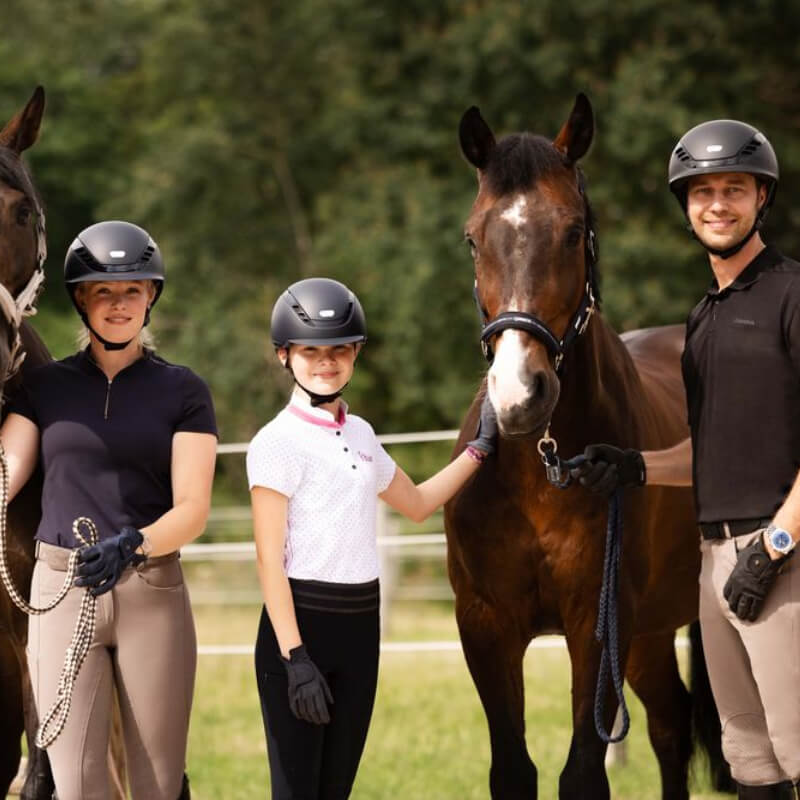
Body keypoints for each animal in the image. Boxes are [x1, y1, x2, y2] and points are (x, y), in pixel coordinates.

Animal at [444, 94, 731, 799]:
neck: (537, 475)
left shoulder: (597, 622)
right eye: (472, 237)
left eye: (574, 231)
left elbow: (581, 774)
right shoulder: (485, 625)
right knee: (670, 723)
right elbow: (512, 770)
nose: (520, 393)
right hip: (651, 632)